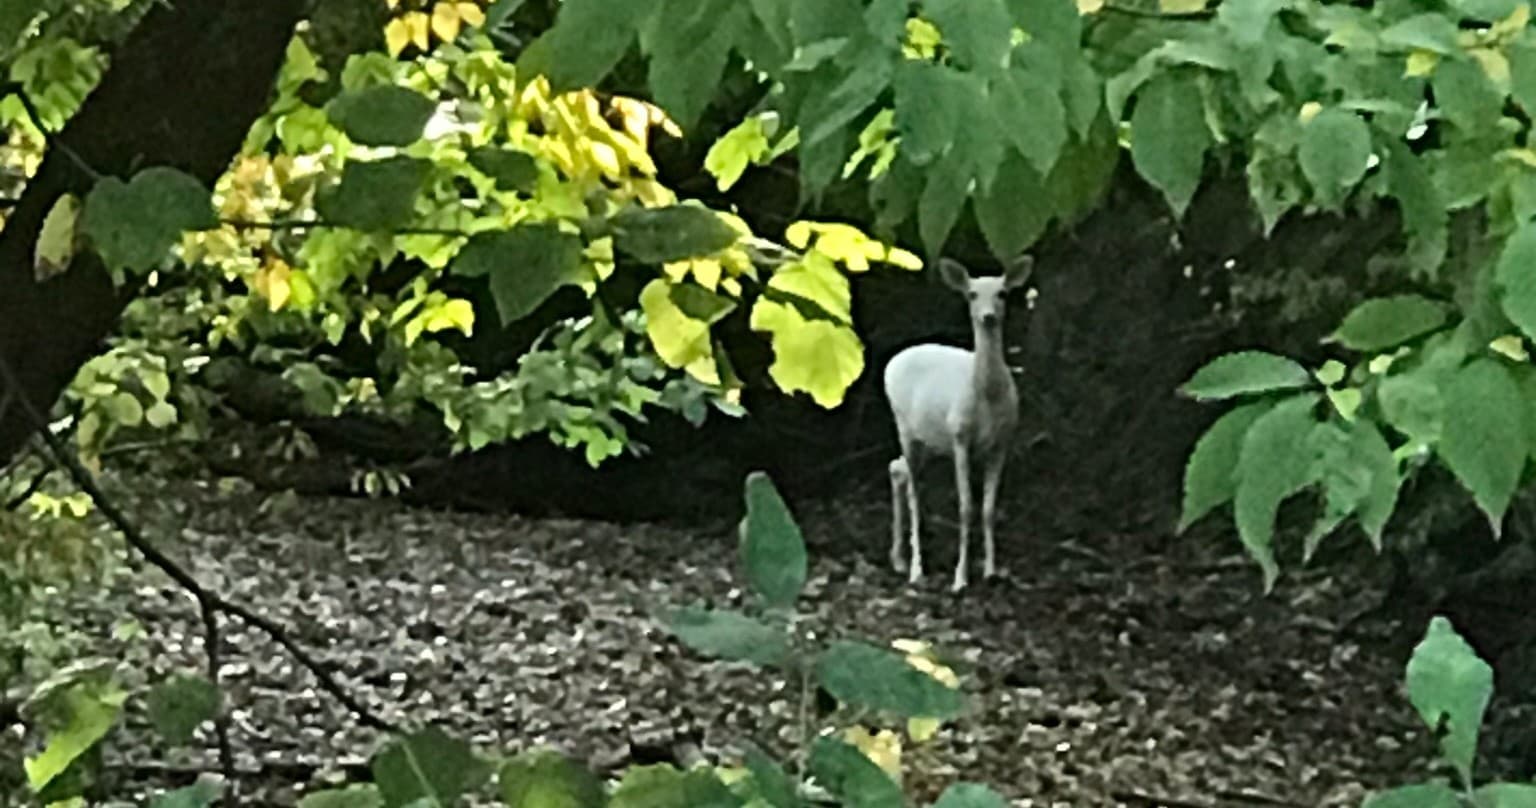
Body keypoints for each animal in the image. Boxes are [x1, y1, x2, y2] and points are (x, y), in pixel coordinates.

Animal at [884, 254, 1033, 592]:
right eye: (972, 294)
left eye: (1003, 293)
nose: (988, 317)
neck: (987, 398)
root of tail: (892, 361)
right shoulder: (960, 435)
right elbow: (966, 507)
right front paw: (960, 578)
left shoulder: (1003, 441)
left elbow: (989, 509)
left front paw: (991, 571)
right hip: (904, 424)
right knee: (914, 489)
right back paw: (916, 570)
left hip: (930, 440)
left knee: (896, 469)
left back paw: (897, 560)